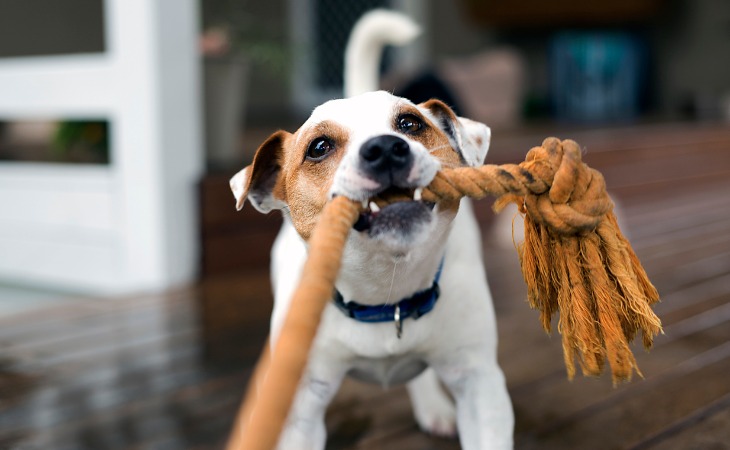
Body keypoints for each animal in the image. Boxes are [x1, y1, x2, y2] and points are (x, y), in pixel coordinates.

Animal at [230, 7, 510, 450]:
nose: (384, 148)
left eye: (410, 124)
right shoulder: (300, 410)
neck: (386, 293)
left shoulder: (480, 384)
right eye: (319, 147)